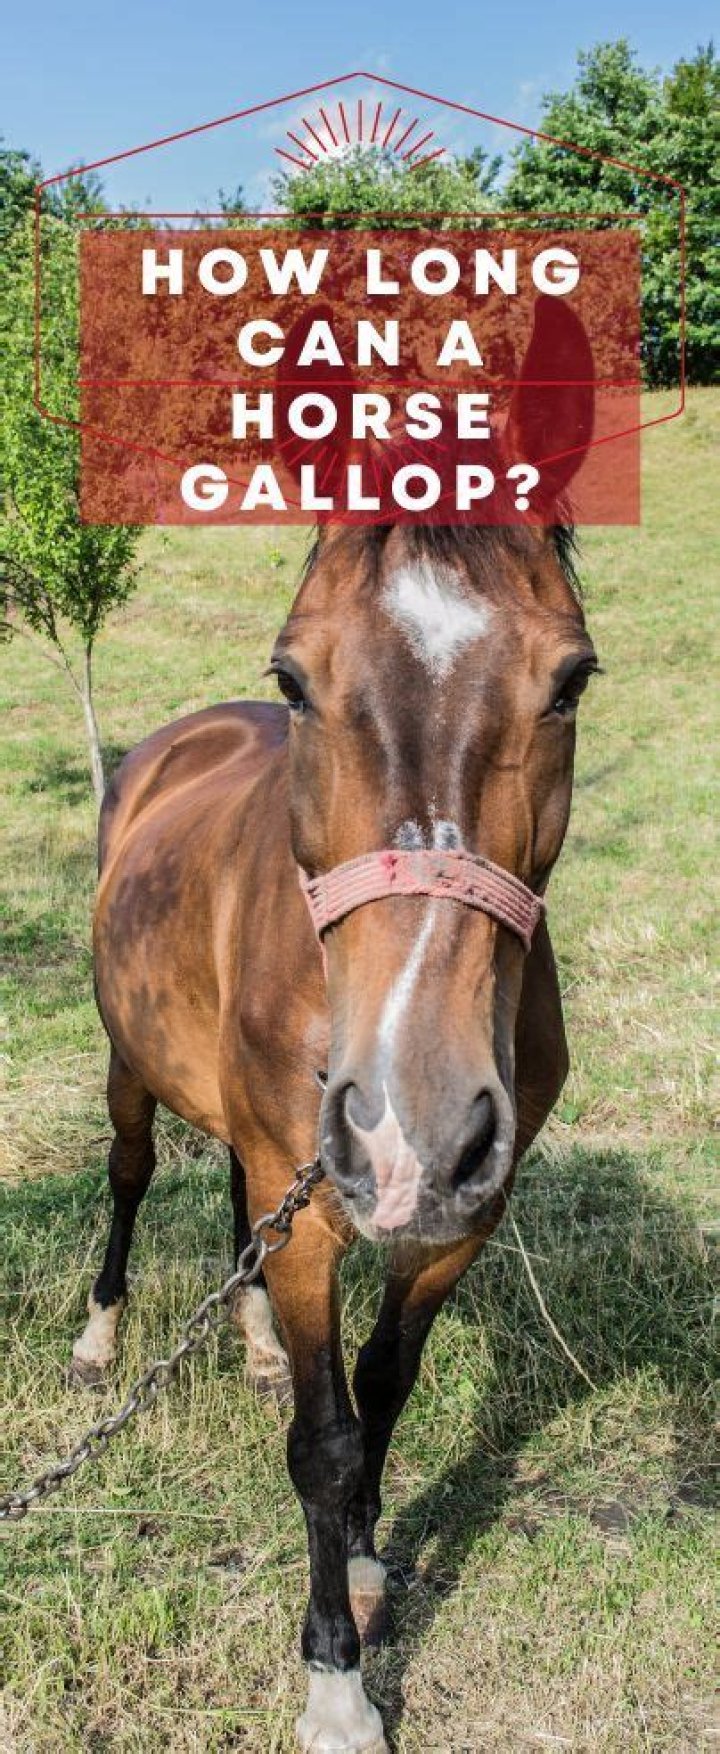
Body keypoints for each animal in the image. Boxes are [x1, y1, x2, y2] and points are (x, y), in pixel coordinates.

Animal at [73, 301, 598, 1752]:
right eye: (296, 676)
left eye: (572, 677)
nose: (409, 1119)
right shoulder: (318, 1207)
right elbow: (322, 1439)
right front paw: (336, 1678)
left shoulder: (466, 1206)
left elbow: (384, 1384)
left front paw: (367, 1555)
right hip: (138, 1070)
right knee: (135, 1175)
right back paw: (100, 1334)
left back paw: (250, 1341)